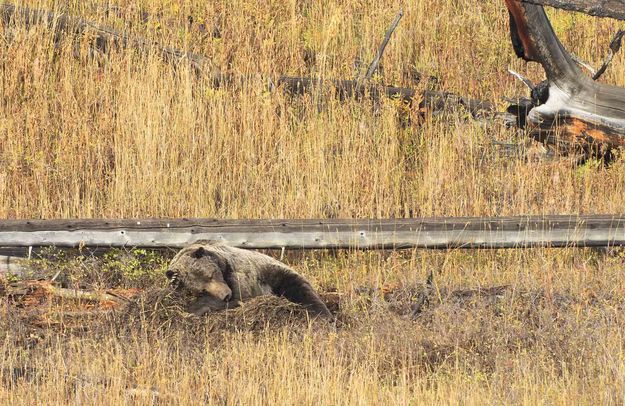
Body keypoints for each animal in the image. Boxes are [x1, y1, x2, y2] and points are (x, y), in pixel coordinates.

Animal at [166, 243, 332, 318]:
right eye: (202, 289)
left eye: (211, 274)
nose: (226, 295)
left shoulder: (240, 273)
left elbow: (240, 296)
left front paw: (194, 309)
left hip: (277, 274)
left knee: (301, 290)